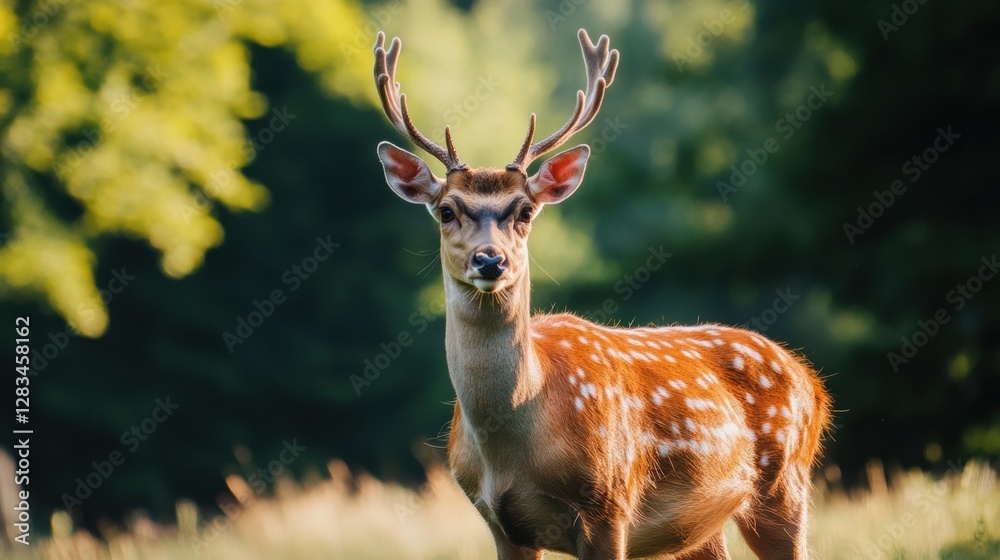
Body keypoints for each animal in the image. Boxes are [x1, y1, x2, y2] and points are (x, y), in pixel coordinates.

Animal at [372, 29, 832, 560]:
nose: (490, 260)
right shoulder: (498, 522)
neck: (511, 447)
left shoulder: (609, 505)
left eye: (525, 210)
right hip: (701, 527)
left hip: (786, 484)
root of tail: (812, 380)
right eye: (446, 210)